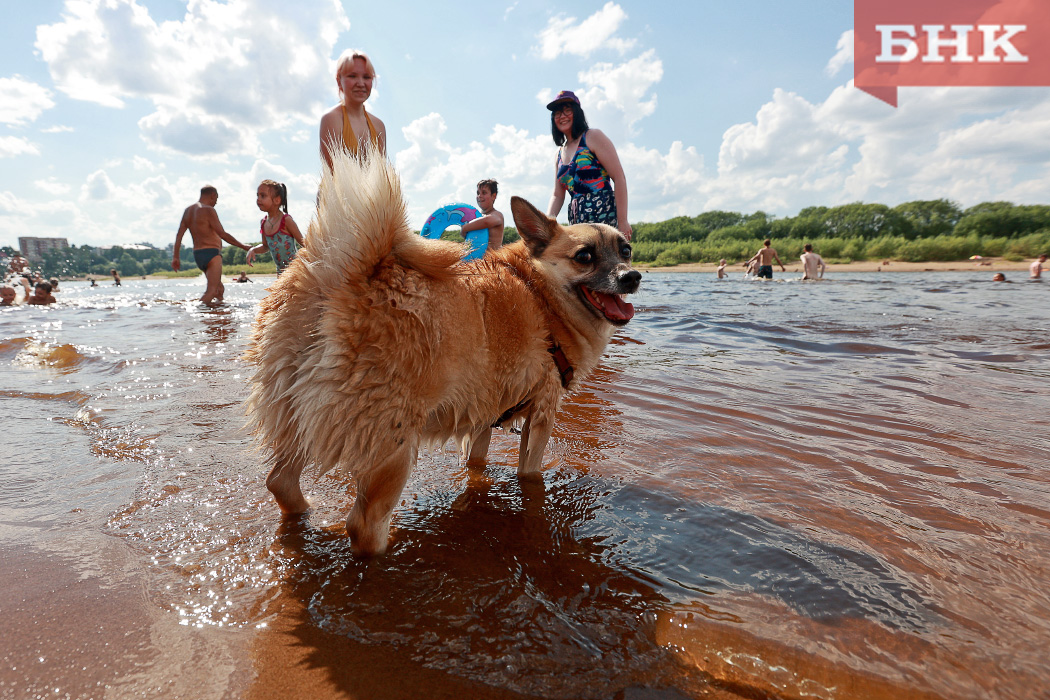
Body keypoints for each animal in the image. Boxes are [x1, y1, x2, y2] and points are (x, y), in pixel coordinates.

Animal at [245, 149, 638, 558]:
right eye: (584, 256)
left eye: (625, 250)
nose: (632, 276)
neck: (540, 293)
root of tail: (337, 278)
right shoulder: (542, 414)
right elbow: (529, 472)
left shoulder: (484, 414)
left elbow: (476, 461)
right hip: (392, 447)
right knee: (363, 525)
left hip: (293, 416)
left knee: (279, 481)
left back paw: (305, 515)